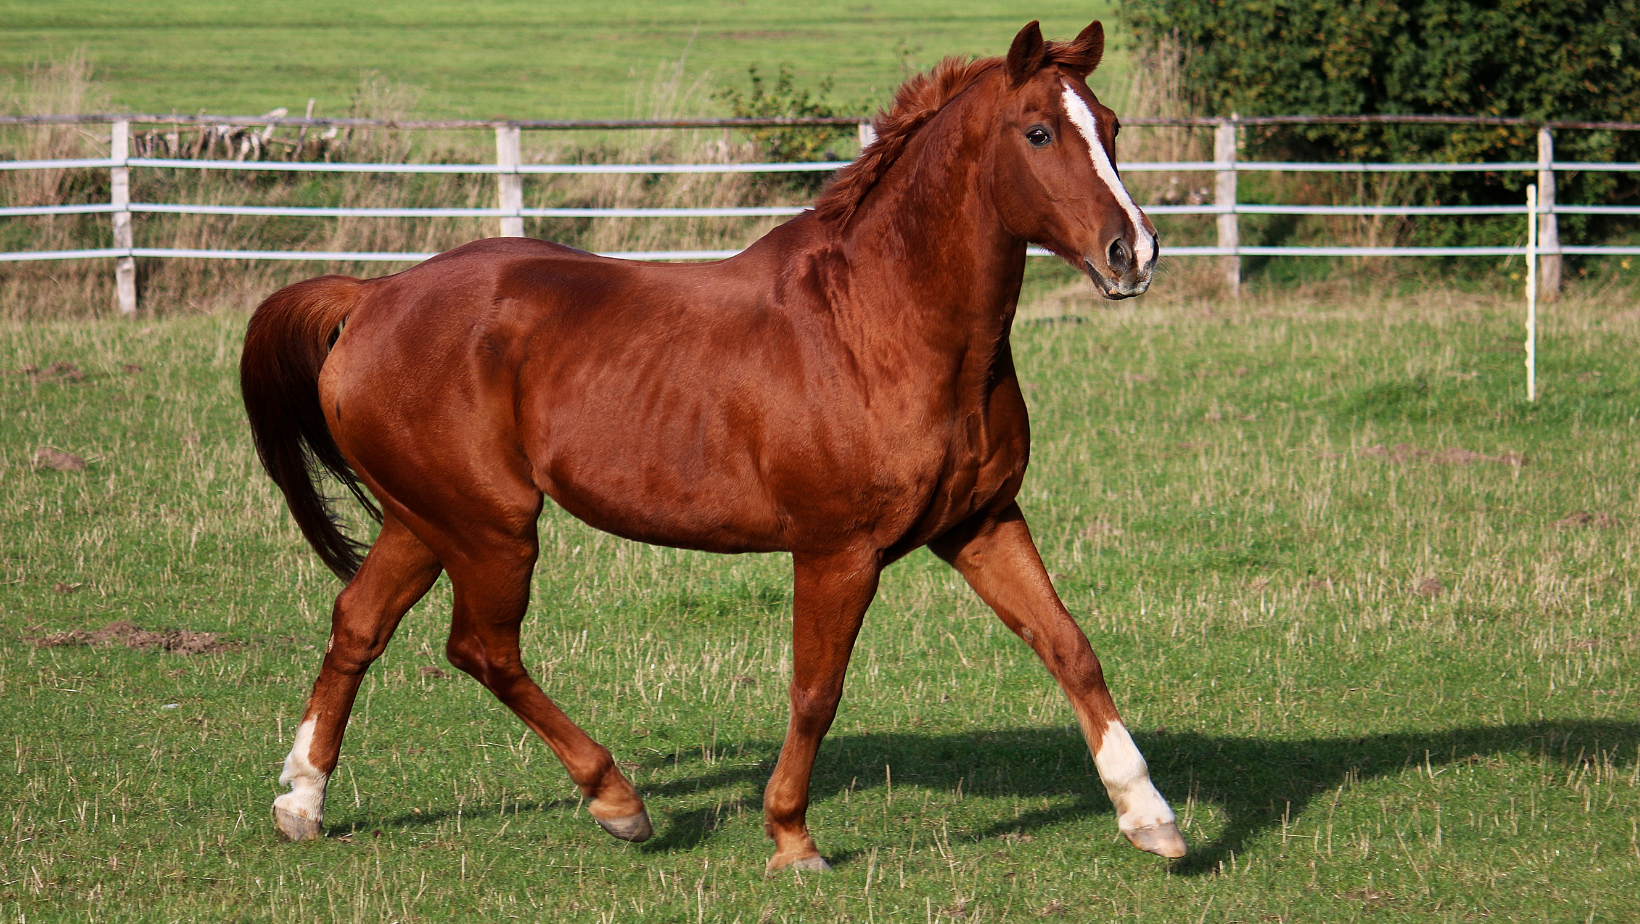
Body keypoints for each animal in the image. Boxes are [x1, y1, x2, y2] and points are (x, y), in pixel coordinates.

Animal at [240, 20, 1182, 871]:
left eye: (1112, 124)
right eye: (1038, 131)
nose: (1133, 251)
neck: (883, 326)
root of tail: (373, 297)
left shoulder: (980, 523)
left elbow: (1070, 648)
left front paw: (1151, 817)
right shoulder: (837, 551)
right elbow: (816, 690)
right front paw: (792, 839)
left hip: (424, 519)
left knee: (360, 623)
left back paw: (301, 802)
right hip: (491, 527)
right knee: (481, 648)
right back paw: (617, 801)